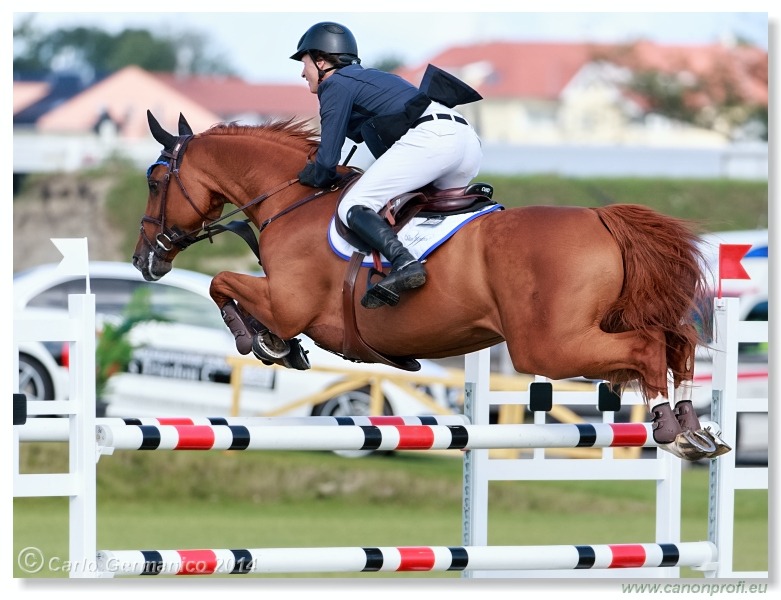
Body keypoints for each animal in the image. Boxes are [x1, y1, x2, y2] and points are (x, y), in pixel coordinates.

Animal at [136, 110, 732, 462]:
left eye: (156, 180)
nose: (145, 259)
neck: (292, 200)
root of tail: (603, 219)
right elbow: (226, 284)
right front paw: (276, 346)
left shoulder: (287, 303)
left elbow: (221, 283)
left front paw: (264, 343)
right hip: (599, 324)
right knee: (678, 341)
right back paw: (695, 428)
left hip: (549, 346)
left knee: (649, 347)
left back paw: (671, 429)